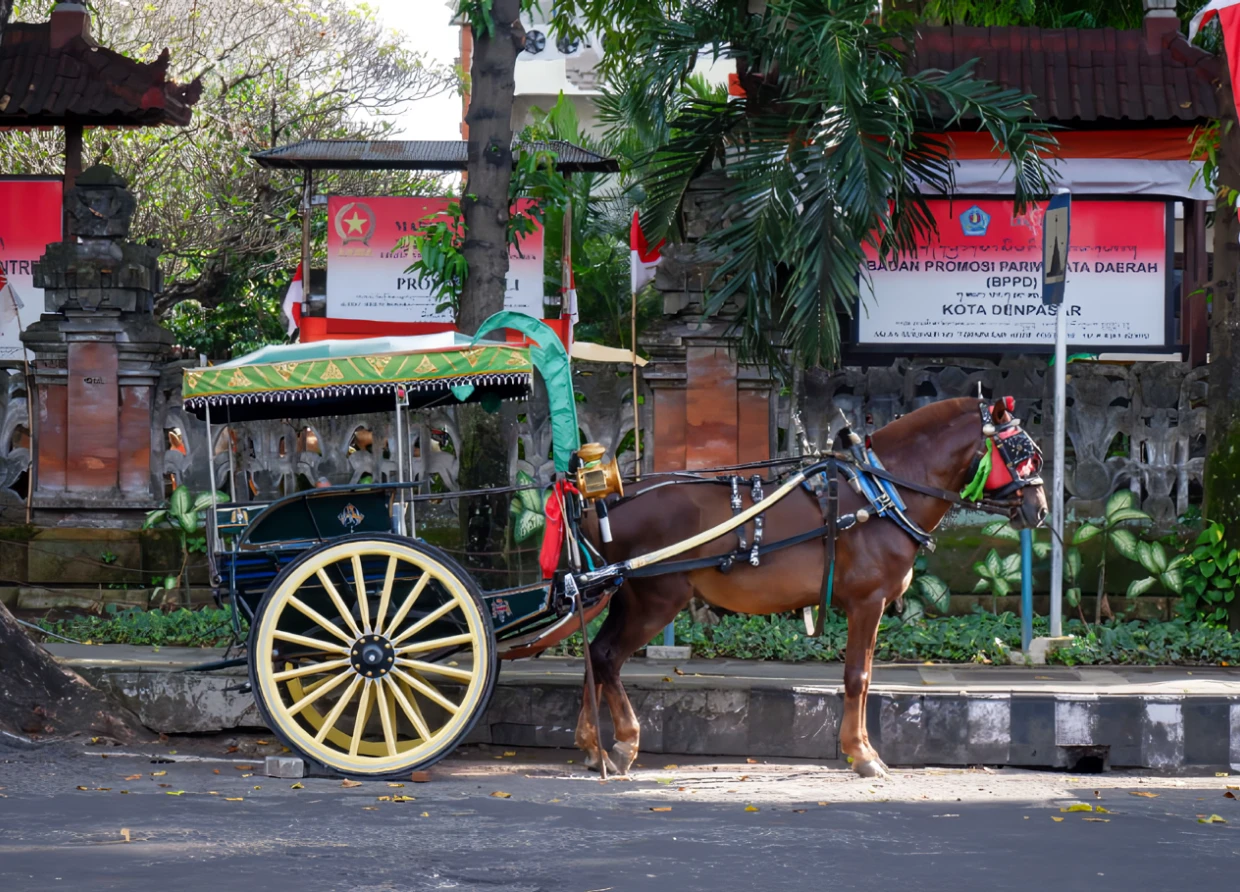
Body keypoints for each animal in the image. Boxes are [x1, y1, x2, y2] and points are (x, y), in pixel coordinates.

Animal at [574, 396, 1048, 779]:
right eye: (1022, 455)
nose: (1040, 509)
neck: (882, 492)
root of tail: (604, 501)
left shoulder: (869, 605)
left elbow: (866, 676)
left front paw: (863, 748)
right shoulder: (867, 602)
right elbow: (857, 676)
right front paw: (862, 754)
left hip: (625, 596)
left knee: (594, 653)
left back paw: (592, 744)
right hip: (656, 599)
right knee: (608, 657)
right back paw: (623, 743)